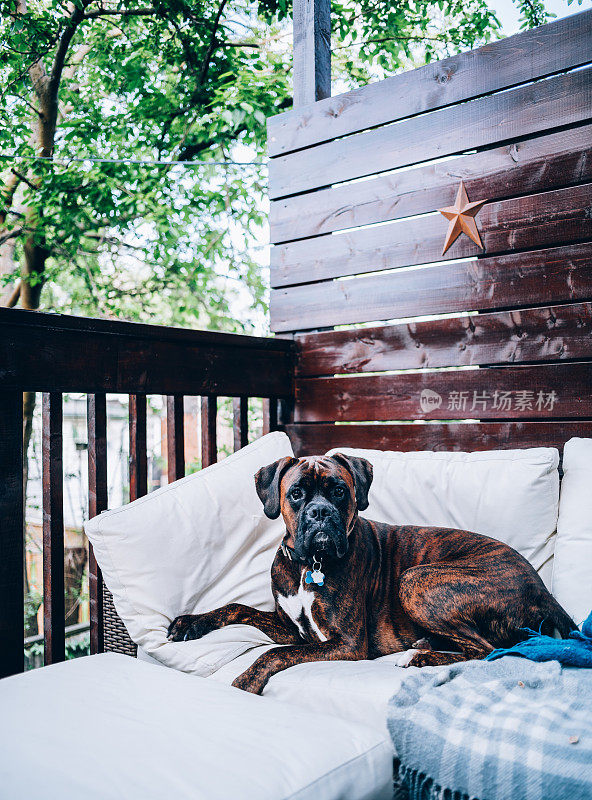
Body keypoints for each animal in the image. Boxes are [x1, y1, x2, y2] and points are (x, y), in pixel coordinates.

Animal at [169, 456, 576, 692]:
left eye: (339, 491)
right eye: (297, 493)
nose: (320, 513)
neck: (308, 565)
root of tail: (541, 589)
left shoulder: (346, 645)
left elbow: (275, 654)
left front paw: (244, 681)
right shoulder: (290, 626)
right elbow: (238, 608)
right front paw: (191, 622)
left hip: (415, 579)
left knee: (487, 650)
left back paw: (418, 658)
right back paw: (424, 645)